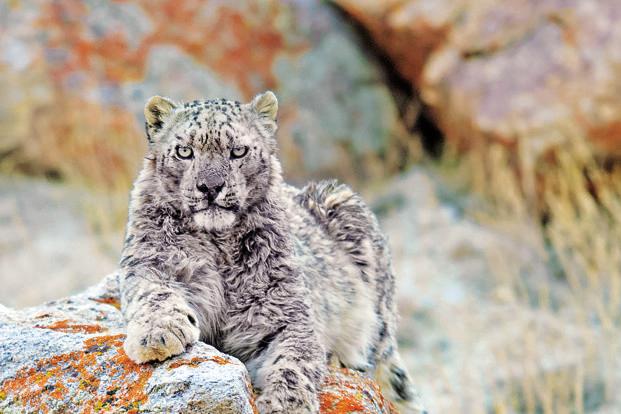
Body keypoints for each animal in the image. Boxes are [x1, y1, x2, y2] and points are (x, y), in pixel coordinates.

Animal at [118, 92, 424, 412]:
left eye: (238, 151)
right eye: (184, 151)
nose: (210, 187)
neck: (219, 248)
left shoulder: (285, 309)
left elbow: (294, 359)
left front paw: (284, 404)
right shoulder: (152, 264)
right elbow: (154, 294)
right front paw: (158, 335)